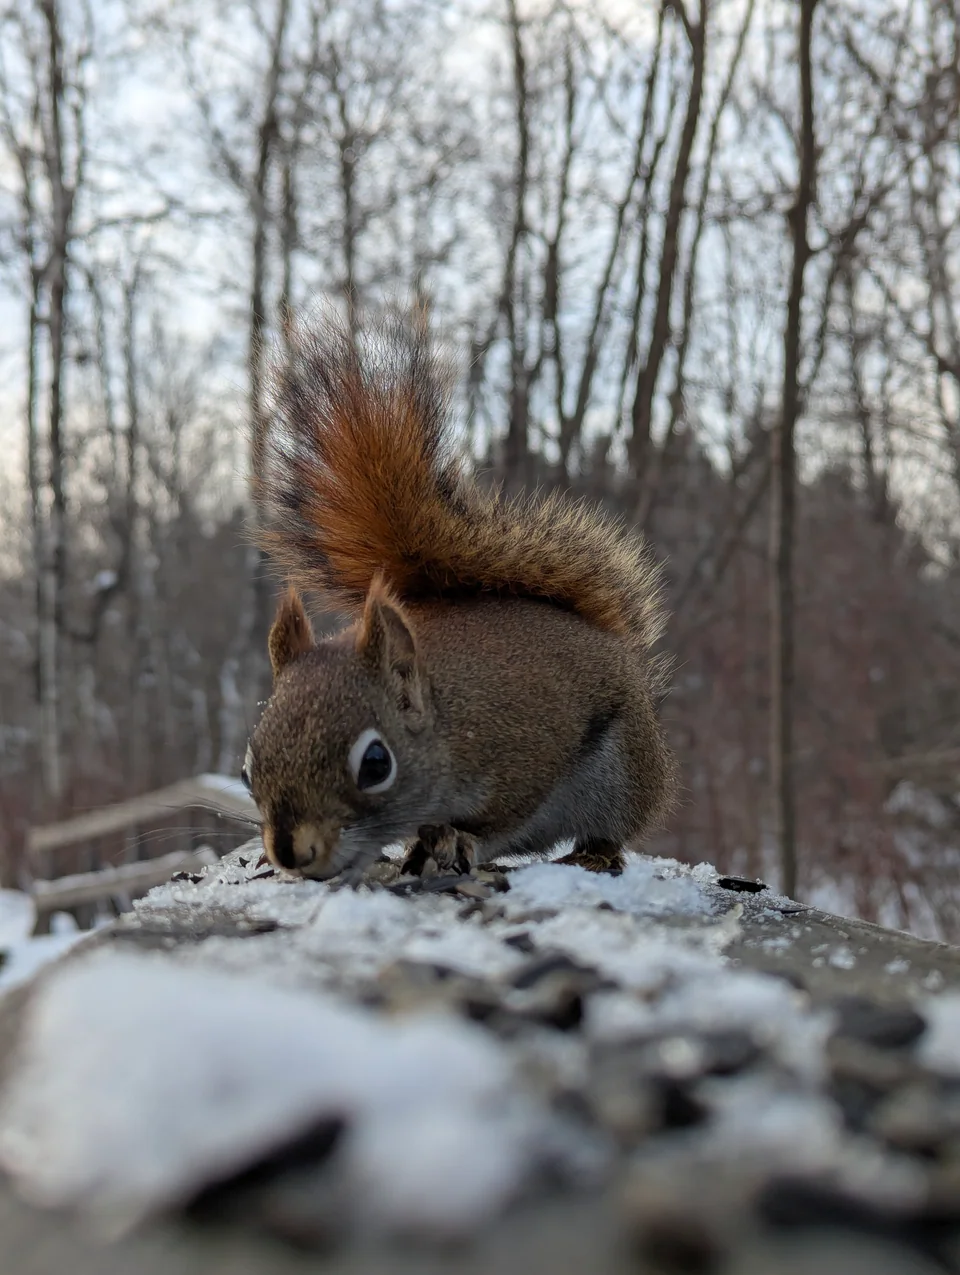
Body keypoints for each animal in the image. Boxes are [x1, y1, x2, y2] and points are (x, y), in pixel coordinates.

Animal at [243, 312, 677, 880]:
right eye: (248, 765)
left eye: (376, 764)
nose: (291, 851)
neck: (446, 717)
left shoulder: (523, 755)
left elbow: (504, 820)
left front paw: (461, 840)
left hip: (622, 773)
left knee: (611, 829)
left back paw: (592, 853)